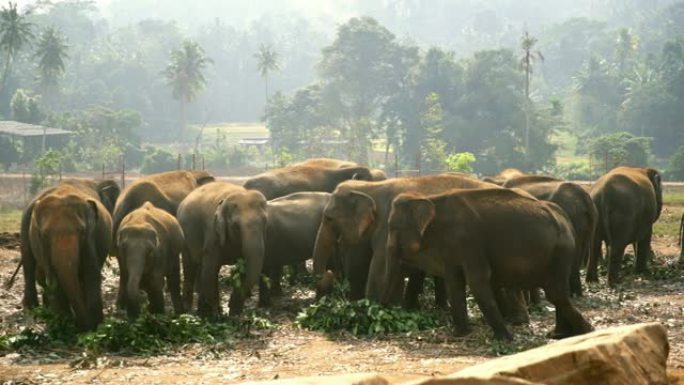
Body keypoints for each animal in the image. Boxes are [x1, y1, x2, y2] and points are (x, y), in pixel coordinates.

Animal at [20, 178, 117, 328]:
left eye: (82, 232)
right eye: (45, 235)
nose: (83, 325)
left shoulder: (91, 235)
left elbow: (91, 271)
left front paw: (95, 324)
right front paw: (64, 322)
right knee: (29, 261)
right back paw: (33, 308)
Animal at [179, 182, 268, 316]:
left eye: (264, 222)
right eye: (236, 226)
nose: (229, 304)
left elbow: (244, 268)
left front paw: (235, 314)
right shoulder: (212, 232)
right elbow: (210, 269)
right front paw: (214, 315)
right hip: (185, 235)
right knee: (191, 266)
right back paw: (188, 311)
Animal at [312, 173, 500, 304]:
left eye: (328, 218)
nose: (328, 273)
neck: (370, 187)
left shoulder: (389, 225)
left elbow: (379, 271)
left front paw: (374, 307)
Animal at [384, 189, 592, 340]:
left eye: (393, 227)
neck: (429, 198)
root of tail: (564, 217)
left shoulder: (470, 241)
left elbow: (477, 280)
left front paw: (505, 338)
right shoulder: (451, 249)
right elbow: (454, 283)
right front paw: (459, 335)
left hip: (560, 251)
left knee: (555, 292)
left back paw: (585, 331)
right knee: (557, 292)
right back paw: (561, 335)